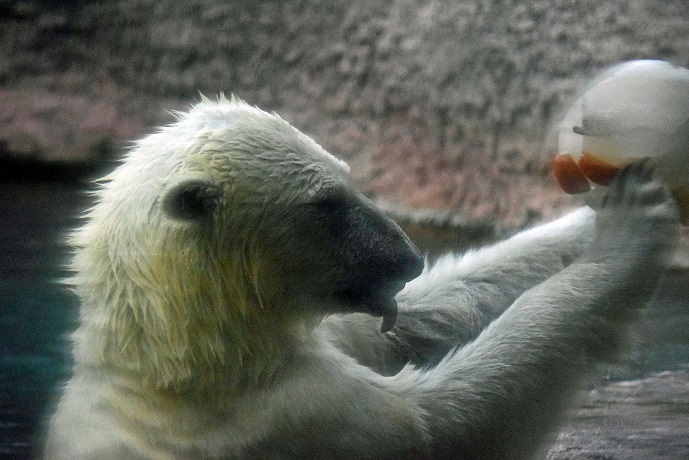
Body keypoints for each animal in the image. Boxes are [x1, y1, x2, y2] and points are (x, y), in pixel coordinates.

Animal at [43, 95, 676, 458]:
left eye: (350, 177)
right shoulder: (289, 420)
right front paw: (629, 228)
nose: (407, 256)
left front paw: (587, 216)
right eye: (328, 202)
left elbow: (418, 316)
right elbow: (445, 423)